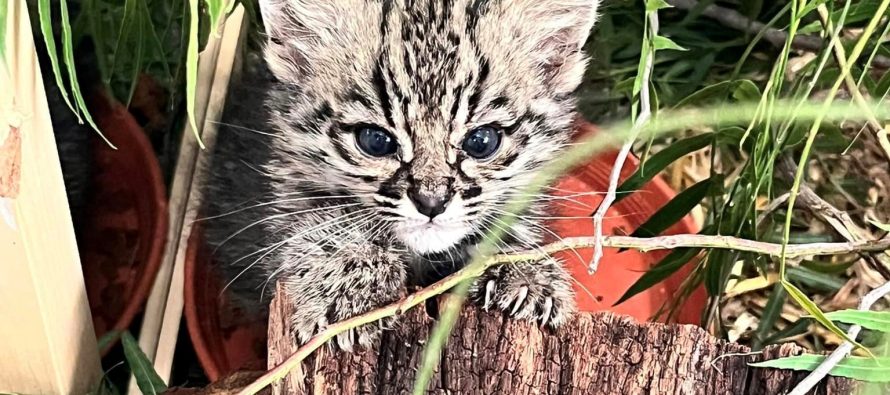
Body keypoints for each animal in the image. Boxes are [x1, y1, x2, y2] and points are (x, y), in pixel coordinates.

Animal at [203, 0, 596, 352]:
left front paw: (524, 273)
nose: (431, 202)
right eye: (375, 141)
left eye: (482, 141)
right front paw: (350, 280)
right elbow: (309, 228)